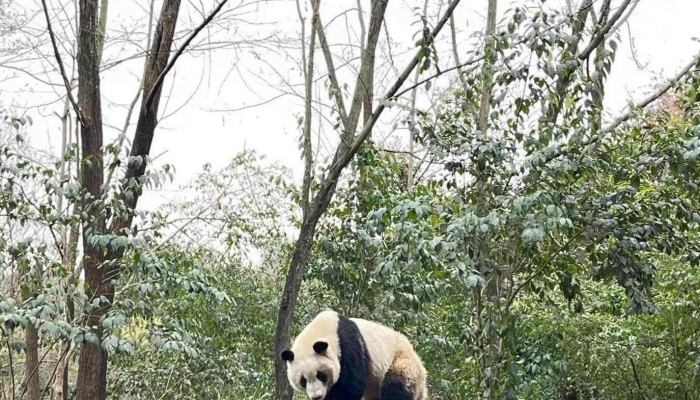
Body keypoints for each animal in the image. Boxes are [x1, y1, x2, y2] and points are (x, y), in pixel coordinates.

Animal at [278, 310, 426, 400]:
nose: (317, 397)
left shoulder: (349, 344)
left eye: (320, 375)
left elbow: (352, 386)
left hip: (401, 362)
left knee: (396, 387)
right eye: (303, 380)